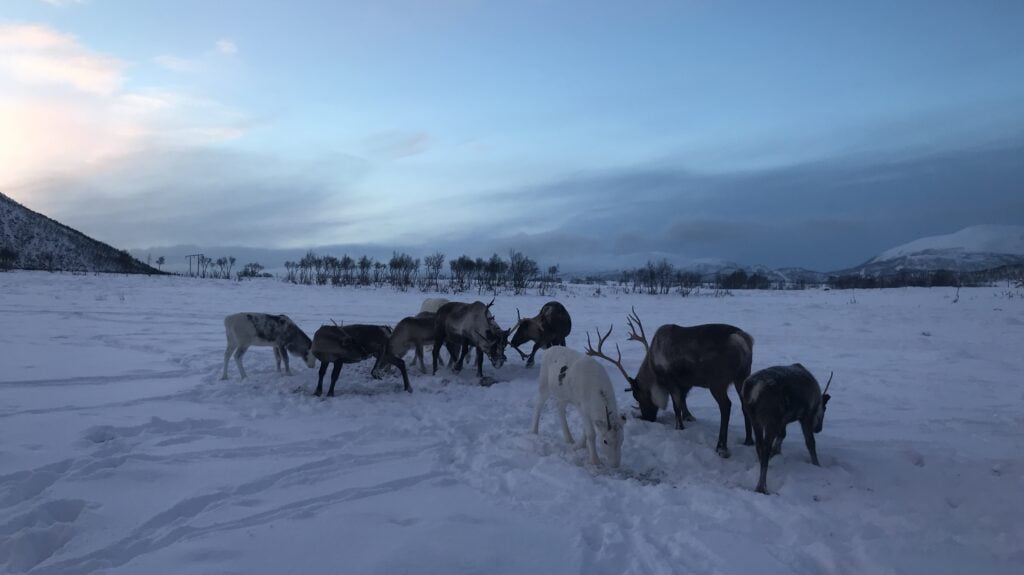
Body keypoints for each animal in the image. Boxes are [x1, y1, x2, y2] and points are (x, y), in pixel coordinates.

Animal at [585, 308, 754, 458]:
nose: (647, 418)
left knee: (726, 406)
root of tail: (741, 339)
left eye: (637, 396)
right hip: (743, 377)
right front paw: (689, 417)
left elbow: (676, 405)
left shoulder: (670, 380)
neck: (653, 368)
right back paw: (749, 440)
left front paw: (679, 427)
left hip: (717, 382)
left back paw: (721, 447)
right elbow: (683, 402)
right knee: (745, 404)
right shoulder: (685, 383)